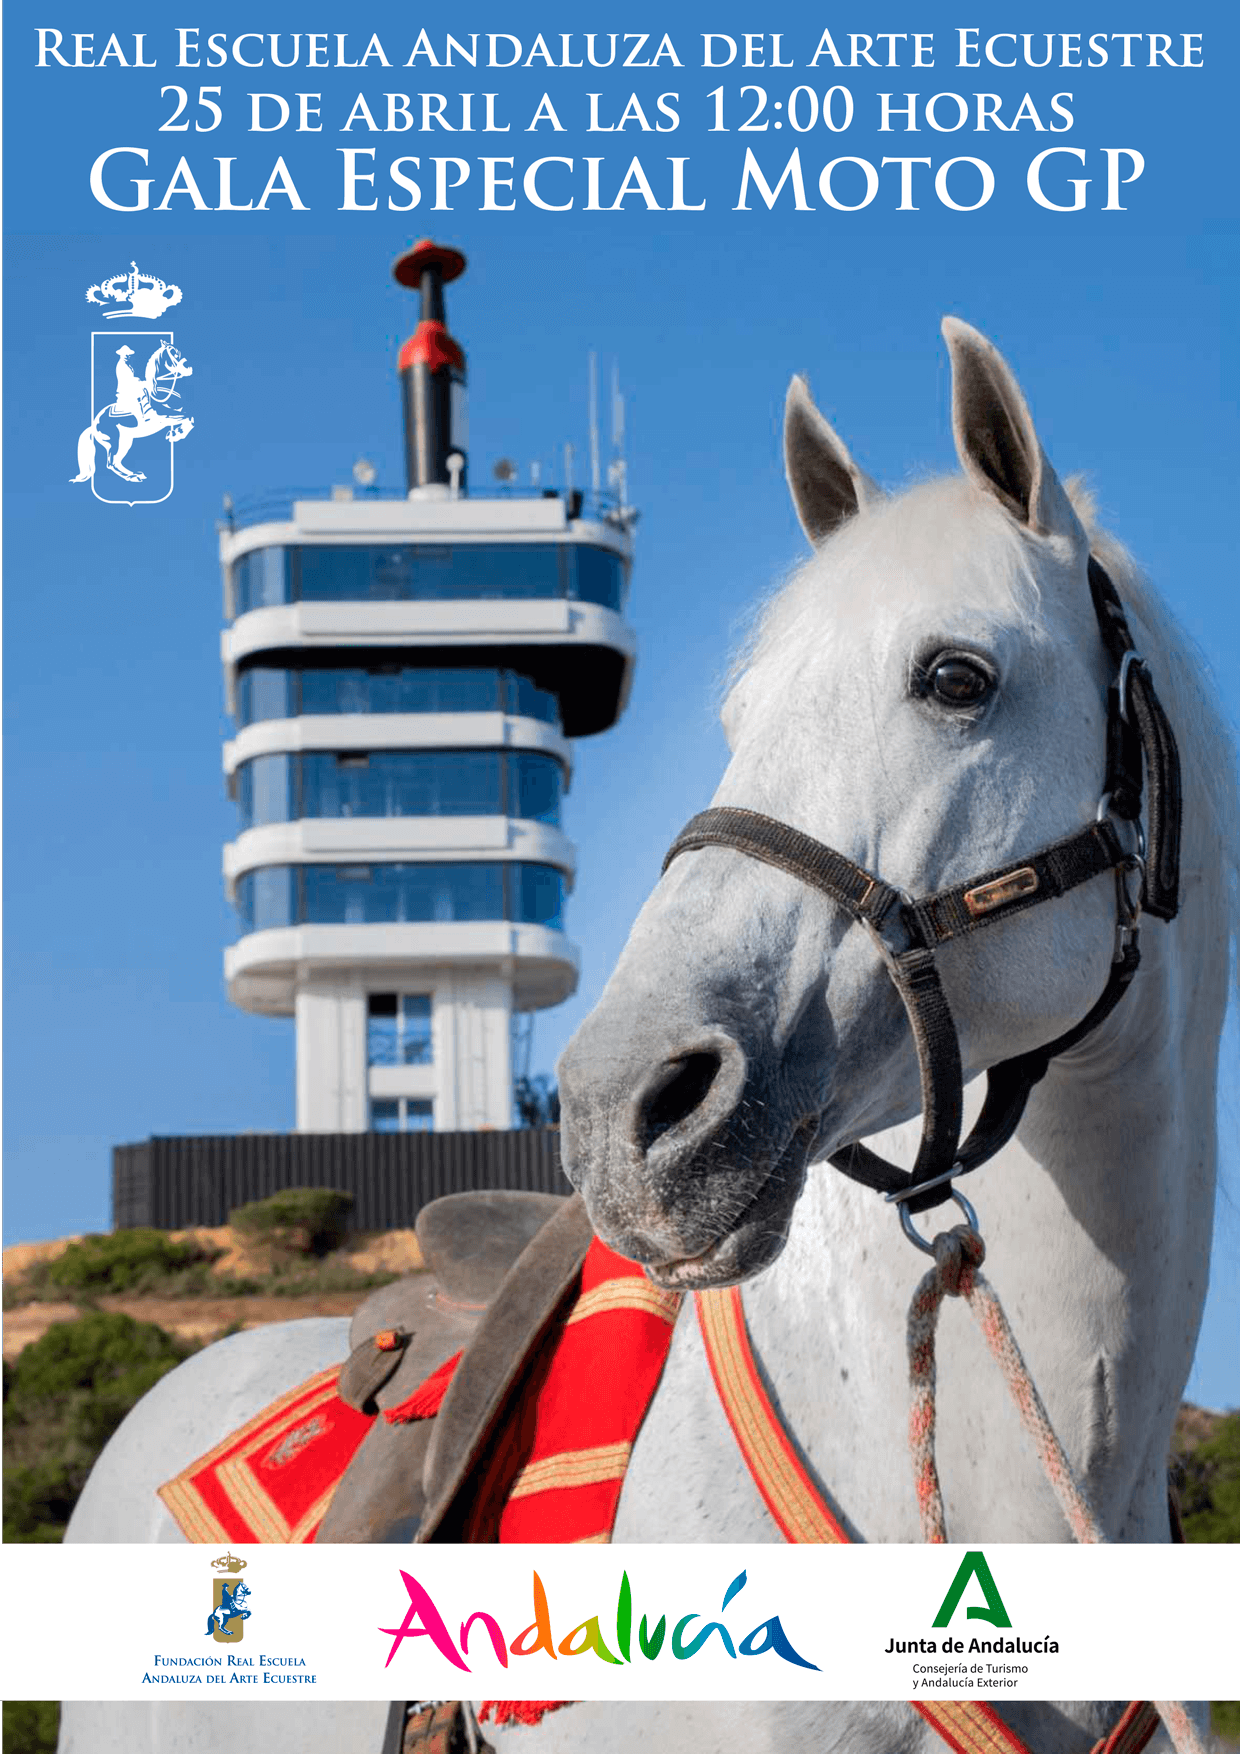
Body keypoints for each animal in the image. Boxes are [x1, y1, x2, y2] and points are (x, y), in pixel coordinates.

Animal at [70, 339, 194, 484]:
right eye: (174, 354)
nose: (189, 370)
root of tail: (93, 426)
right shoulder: (163, 417)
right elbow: (188, 417)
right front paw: (177, 433)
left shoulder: (172, 413)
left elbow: (188, 417)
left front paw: (175, 433)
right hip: (114, 441)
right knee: (111, 463)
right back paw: (132, 477)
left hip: (125, 441)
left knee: (117, 461)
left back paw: (134, 474)